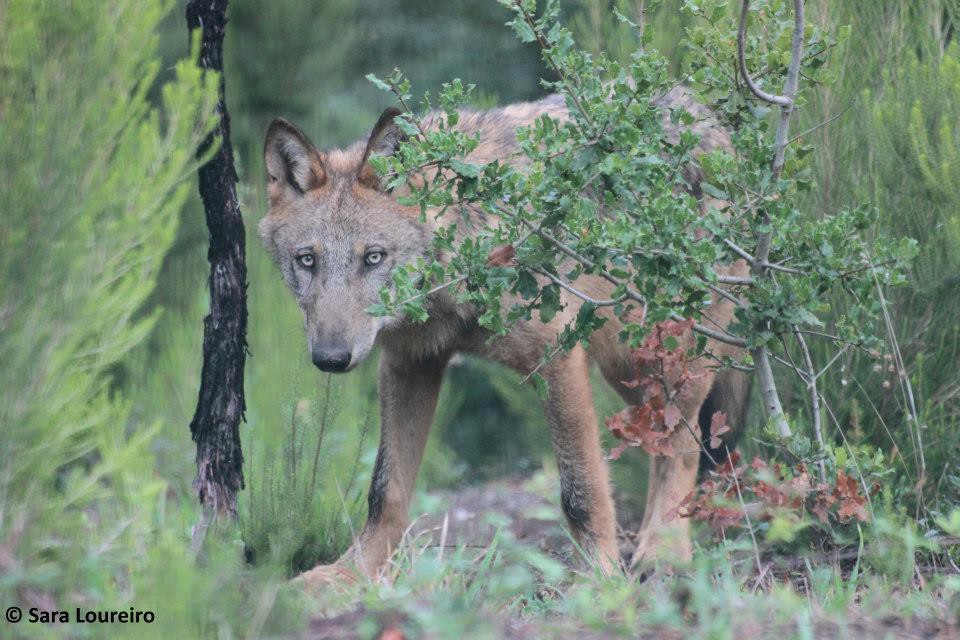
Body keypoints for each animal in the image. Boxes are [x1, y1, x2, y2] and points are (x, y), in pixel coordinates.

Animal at [260, 87, 752, 588]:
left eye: (373, 258)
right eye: (306, 261)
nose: (331, 358)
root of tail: (705, 113)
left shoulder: (557, 360)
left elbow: (581, 488)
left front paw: (599, 580)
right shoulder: (408, 363)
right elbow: (384, 490)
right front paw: (350, 574)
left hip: (663, 360)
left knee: (684, 447)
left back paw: (665, 555)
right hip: (630, 371)